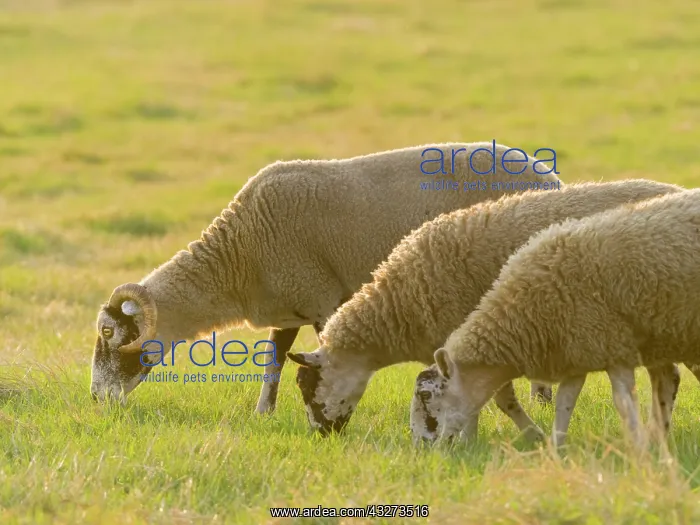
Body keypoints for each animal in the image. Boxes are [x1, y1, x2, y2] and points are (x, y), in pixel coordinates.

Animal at [89, 142, 562, 406]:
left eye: (110, 333)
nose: (96, 398)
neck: (236, 258)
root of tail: (549, 177)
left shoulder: (321, 300)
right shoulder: (288, 309)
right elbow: (273, 365)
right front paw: (264, 414)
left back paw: (541, 402)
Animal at [411, 188, 700, 449]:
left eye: (427, 395)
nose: (425, 447)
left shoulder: (612, 346)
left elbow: (624, 405)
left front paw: (638, 449)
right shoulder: (579, 352)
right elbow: (564, 404)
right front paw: (556, 449)